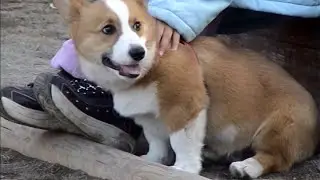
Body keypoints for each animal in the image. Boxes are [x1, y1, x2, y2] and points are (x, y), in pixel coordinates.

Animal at [52, 0, 318, 178]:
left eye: (137, 25)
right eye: (108, 29)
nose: (138, 53)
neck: (149, 68)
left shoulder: (187, 107)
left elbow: (182, 142)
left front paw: (184, 169)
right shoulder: (149, 117)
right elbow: (157, 141)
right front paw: (153, 160)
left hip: (279, 127)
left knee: (276, 158)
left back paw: (247, 166)